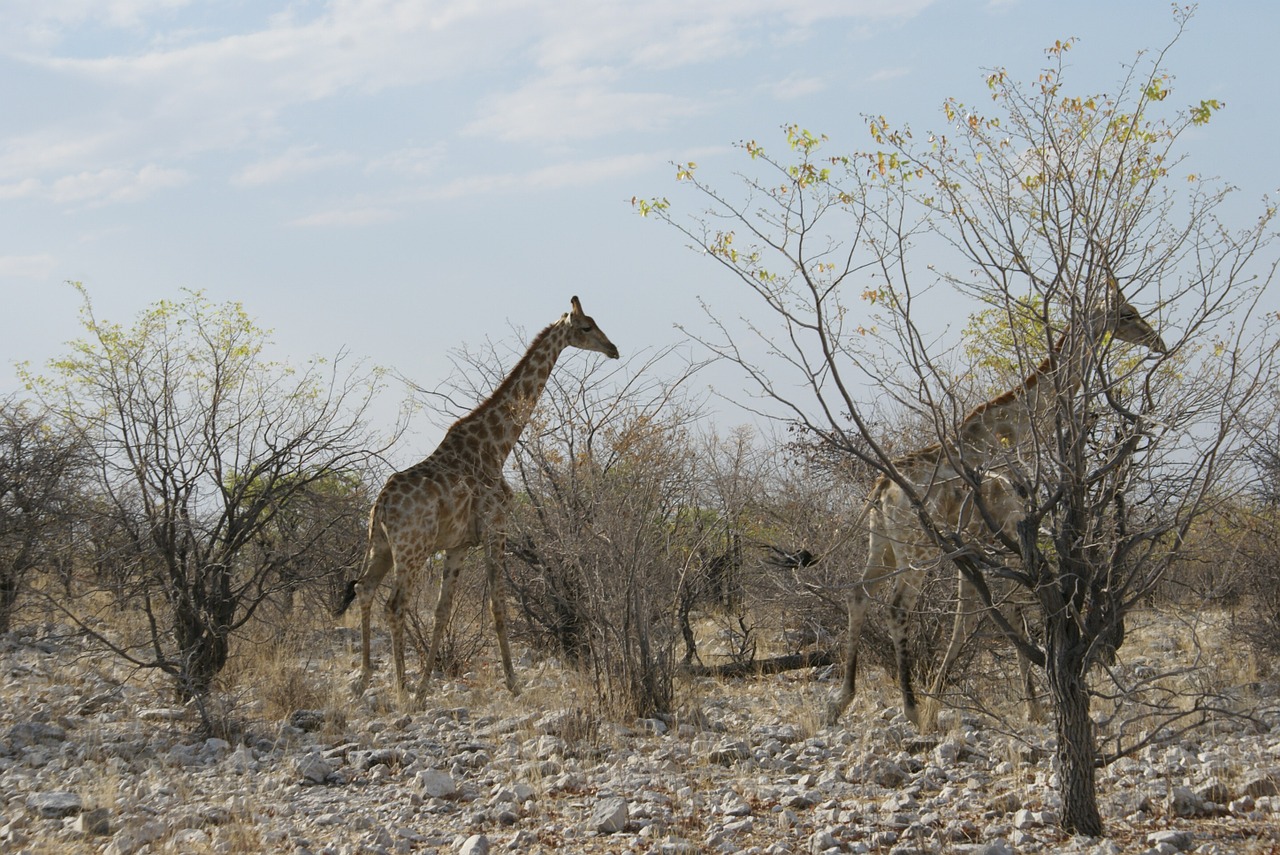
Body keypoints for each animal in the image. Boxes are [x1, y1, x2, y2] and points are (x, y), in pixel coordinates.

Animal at [335, 296, 619, 696]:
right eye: (586, 327)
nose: (613, 349)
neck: (496, 446)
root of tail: (380, 506)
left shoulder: (458, 544)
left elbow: (442, 611)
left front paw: (424, 688)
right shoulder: (495, 528)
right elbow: (498, 605)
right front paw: (513, 684)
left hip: (381, 547)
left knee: (364, 589)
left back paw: (364, 679)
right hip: (412, 549)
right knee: (394, 604)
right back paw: (399, 688)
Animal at [829, 280, 1172, 727]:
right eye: (1128, 312)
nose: (1158, 341)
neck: (1019, 427)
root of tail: (882, 487)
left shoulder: (984, 544)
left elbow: (981, 617)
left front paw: (957, 699)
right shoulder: (1012, 531)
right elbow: (1013, 615)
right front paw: (1034, 706)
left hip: (882, 544)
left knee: (857, 593)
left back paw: (843, 698)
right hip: (917, 551)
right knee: (897, 608)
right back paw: (910, 708)